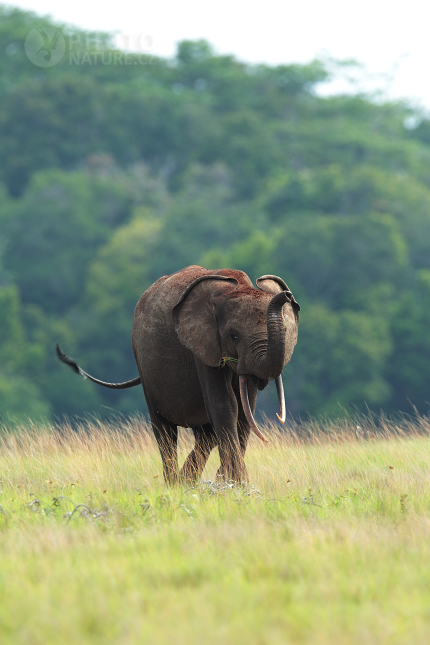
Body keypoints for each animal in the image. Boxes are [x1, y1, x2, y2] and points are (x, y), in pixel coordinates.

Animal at [56, 262, 298, 484]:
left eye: (286, 330)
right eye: (233, 335)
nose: (286, 294)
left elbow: (244, 411)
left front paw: (228, 482)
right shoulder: (202, 345)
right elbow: (226, 405)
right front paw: (237, 484)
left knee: (206, 434)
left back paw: (187, 481)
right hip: (142, 363)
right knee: (165, 431)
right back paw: (175, 484)